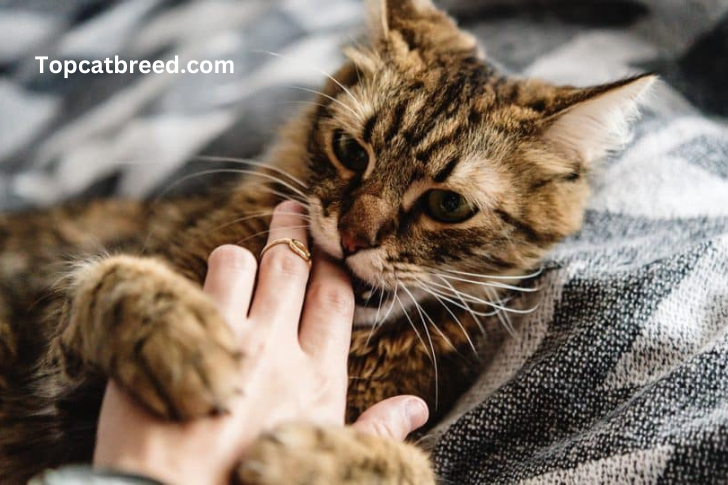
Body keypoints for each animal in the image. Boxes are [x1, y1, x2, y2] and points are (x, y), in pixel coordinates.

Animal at [0, 0, 652, 484]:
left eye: (449, 206)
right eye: (351, 152)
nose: (352, 234)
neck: (361, 349)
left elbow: (411, 469)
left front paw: (311, 456)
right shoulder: (58, 368)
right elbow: (111, 274)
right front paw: (182, 338)